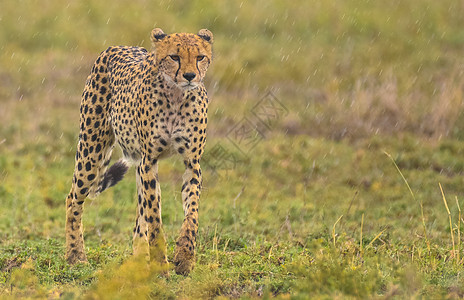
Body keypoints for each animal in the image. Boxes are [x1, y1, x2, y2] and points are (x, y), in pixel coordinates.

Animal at [65, 28, 214, 274]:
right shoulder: (149, 161)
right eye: (175, 57)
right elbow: (154, 216)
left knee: (139, 217)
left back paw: (138, 262)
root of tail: (116, 47)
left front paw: (184, 256)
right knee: (73, 199)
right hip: (91, 149)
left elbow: (191, 213)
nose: (190, 76)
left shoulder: (192, 163)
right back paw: (75, 255)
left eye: (200, 57)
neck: (176, 96)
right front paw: (161, 264)